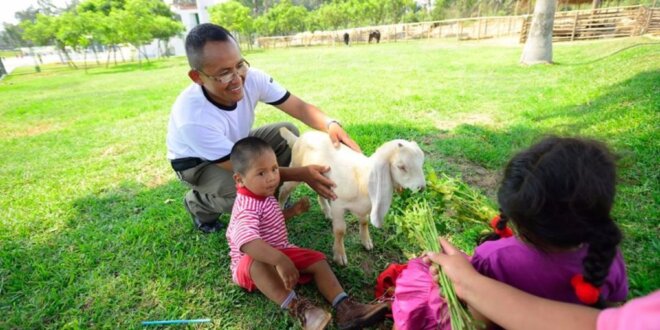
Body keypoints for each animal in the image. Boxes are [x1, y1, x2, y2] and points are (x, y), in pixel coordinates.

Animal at [278, 127, 422, 264]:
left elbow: (364, 222)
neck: (362, 178)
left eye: (421, 163)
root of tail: (299, 138)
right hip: (297, 167)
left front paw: (366, 242)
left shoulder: (364, 207)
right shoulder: (338, 204)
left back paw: (327, 213)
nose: (421, 188)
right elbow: (340, 230)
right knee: (284, 189)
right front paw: (340, 256)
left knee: (320, 194)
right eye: (401, 167)